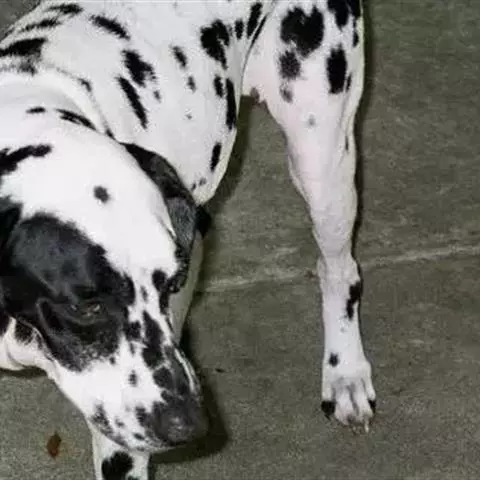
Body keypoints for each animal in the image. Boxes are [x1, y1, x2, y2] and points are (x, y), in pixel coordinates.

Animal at [0, 1, 375, 478]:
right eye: (85, 306)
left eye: (167, 285)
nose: (189, 424)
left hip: (323, 165)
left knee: (340, 269)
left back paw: (345, 372)